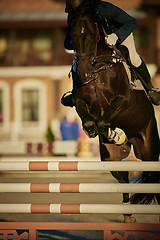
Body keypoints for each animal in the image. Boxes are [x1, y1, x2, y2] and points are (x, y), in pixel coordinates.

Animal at [68, 10, 160, 223]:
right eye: (72, 37)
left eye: (91, 35)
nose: (84, 73)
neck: (97, 68)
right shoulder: (80, 101)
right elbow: (90, 121)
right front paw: (111, 133)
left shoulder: (122, 100)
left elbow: (103, 121)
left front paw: (116, 133)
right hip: (113, 159)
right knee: (123, 178)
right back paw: (127, 215)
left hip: (150, 151)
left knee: (155, 178)